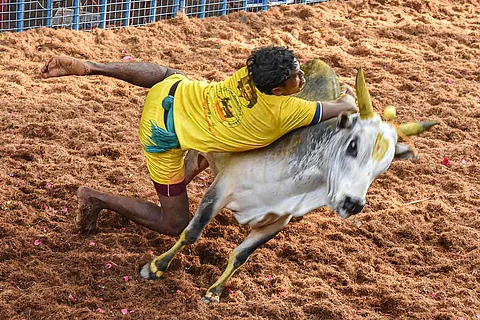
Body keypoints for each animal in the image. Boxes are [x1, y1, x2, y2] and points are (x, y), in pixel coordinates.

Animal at [138, 60, 436, 302]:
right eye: (353, 145)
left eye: (384, 167)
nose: (353, 203)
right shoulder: (221, 190)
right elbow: (191, 232)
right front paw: (155, 267)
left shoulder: (278, 220)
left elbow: (241, 255)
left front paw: (215, 292)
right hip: (195, 157)